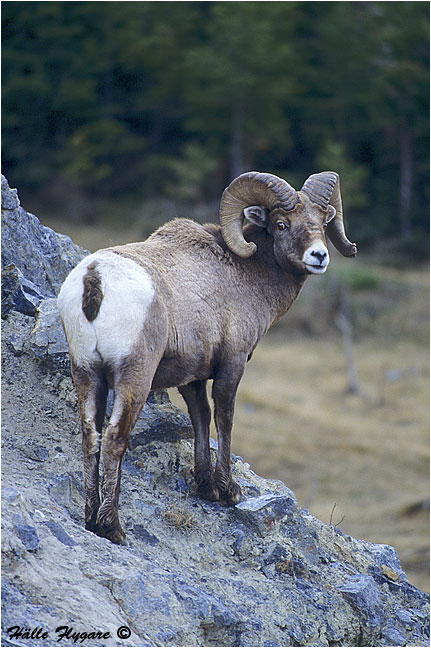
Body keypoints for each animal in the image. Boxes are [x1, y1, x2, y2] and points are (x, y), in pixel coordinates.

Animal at [57, 171, 357, 544]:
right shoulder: (232, 364)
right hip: (134, 378)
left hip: (87, 373)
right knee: (114, 439)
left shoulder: (193, 376)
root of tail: (94, 279)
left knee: (90, 436)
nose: (319, 256)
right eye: (282, 224)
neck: (247, 276)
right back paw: (112, 528)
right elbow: (224, 419)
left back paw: (90, 520)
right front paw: (229, 491)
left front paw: (206, 488)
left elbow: (200, 418)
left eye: (321, 221)